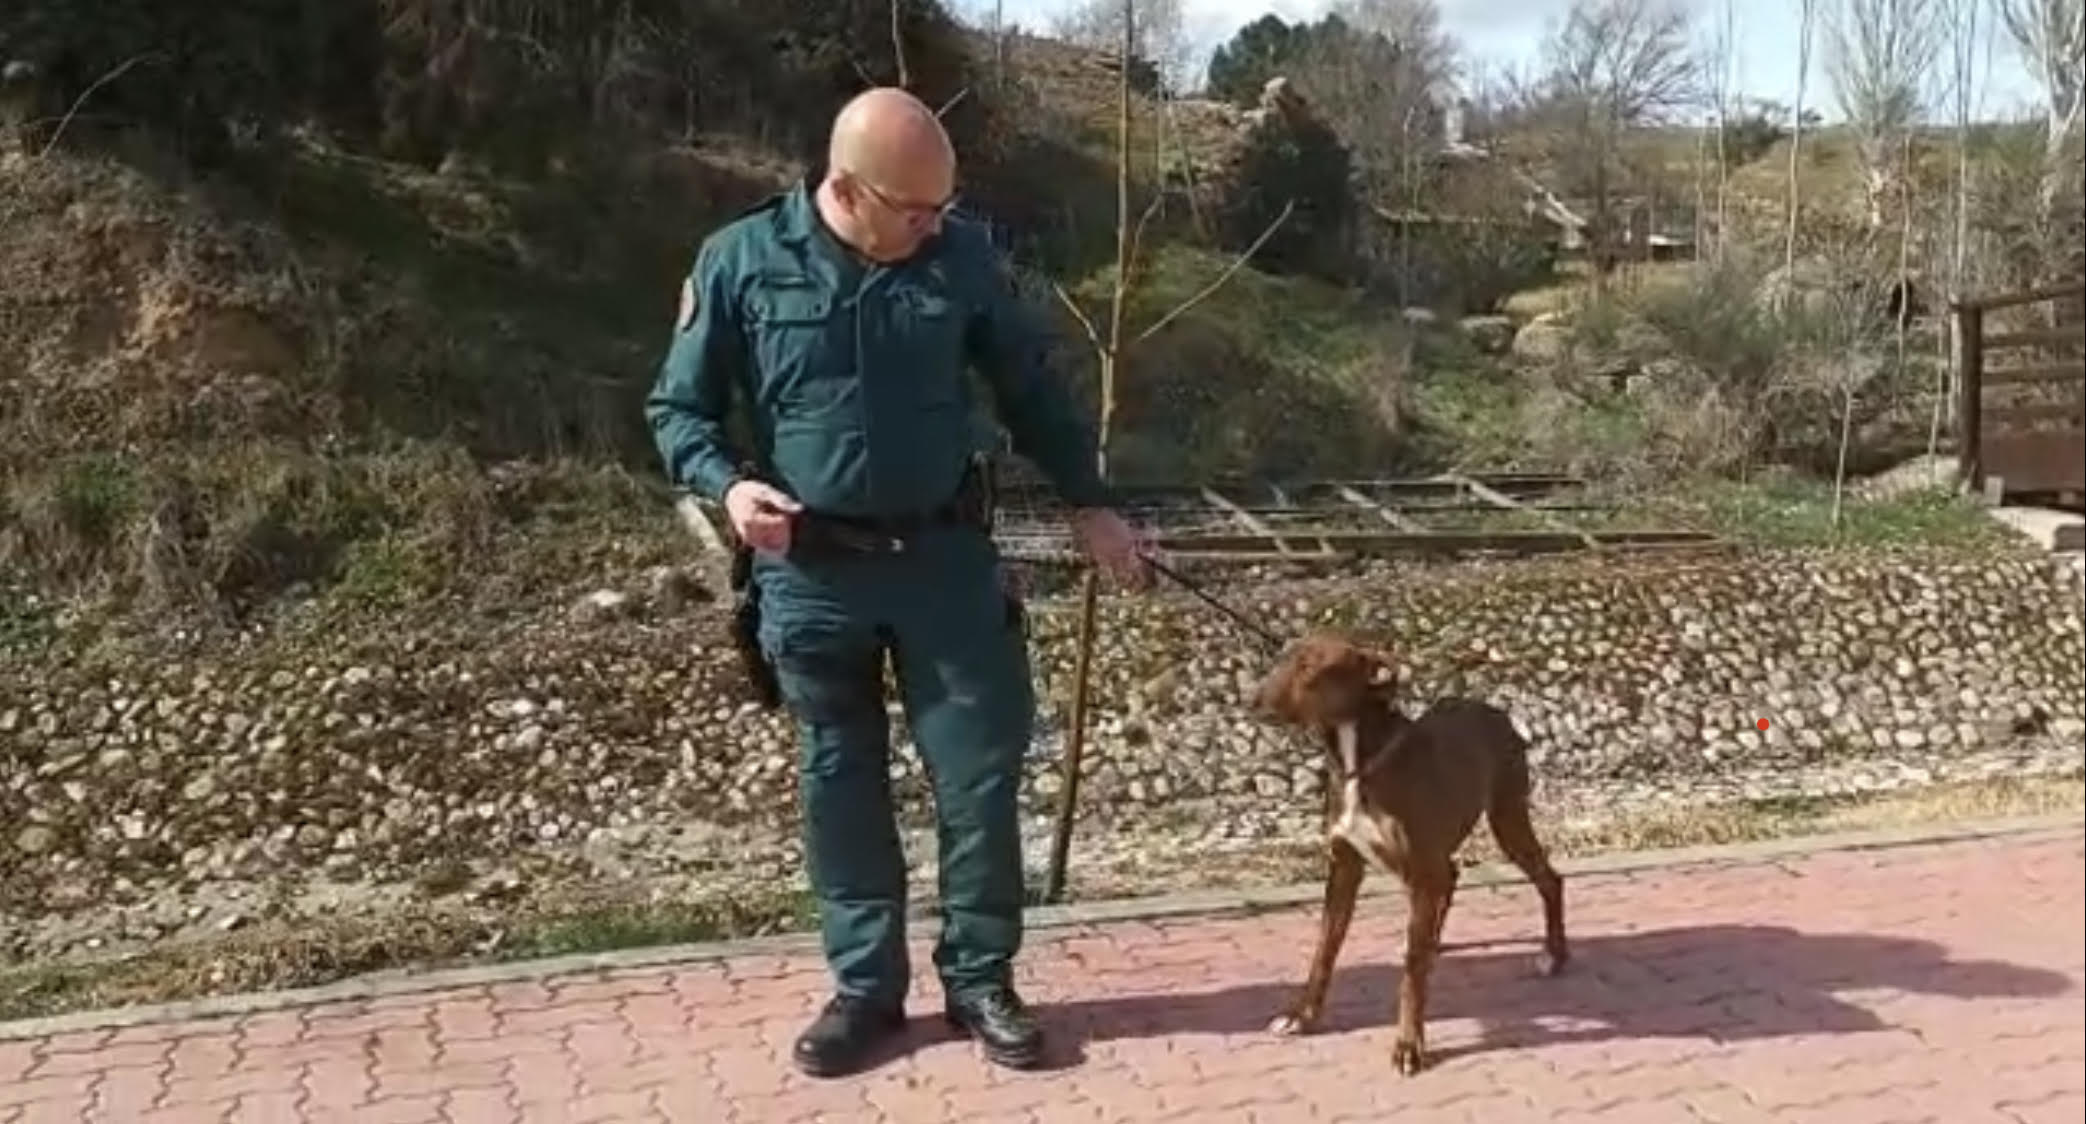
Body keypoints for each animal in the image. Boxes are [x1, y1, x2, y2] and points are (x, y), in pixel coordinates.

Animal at [1251, 629, 1568, 1076]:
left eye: (1311, 667)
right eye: (1283, 658)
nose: (1252, 699)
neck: (1358, 761)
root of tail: (1492, 708)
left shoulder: (1418, 869)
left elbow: (1411, 975)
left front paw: (1408, 1045)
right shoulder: (1345, 868)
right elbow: (1324, 951)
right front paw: (1303, 1015)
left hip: (1506, 818)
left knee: (1548, 879)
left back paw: (1553, 955)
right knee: (1450, 878)